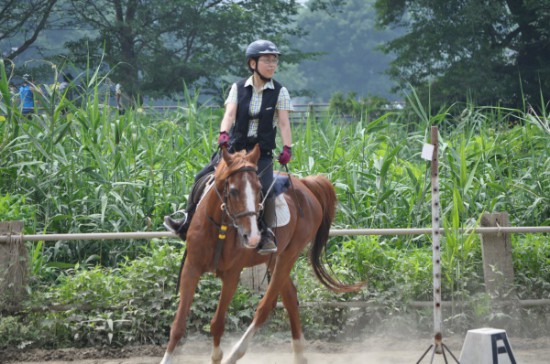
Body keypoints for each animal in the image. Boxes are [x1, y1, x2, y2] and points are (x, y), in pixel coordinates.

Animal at [162, 145, 364, 364]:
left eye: (260, 191)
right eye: (233, 191)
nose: (251, 236)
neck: (220, 227)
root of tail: (305, 185)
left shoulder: (231, 276)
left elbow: (217, 323)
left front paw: (217, 356)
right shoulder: (191, 268)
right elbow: (178, 325)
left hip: (288, 256)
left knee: (265, 307)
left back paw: (235, 354)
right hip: (275, 259)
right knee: (290, 296)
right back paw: (299, 354)